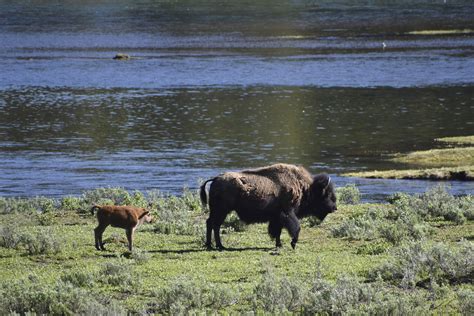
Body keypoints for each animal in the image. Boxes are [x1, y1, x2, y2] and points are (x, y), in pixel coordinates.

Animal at [200, 164, 336, 251]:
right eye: (327, 194)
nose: (334, 208)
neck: (305, 187)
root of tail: (216, 178)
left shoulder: (277, 218)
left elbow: (277, 232)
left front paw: (279, 245)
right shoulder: (287, 213)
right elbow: (295, 228)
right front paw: (293, 244)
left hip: (218, 211)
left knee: (210, 223)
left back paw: (211, 245)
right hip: (221, 211)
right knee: (215, 225)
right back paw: (219, 246)